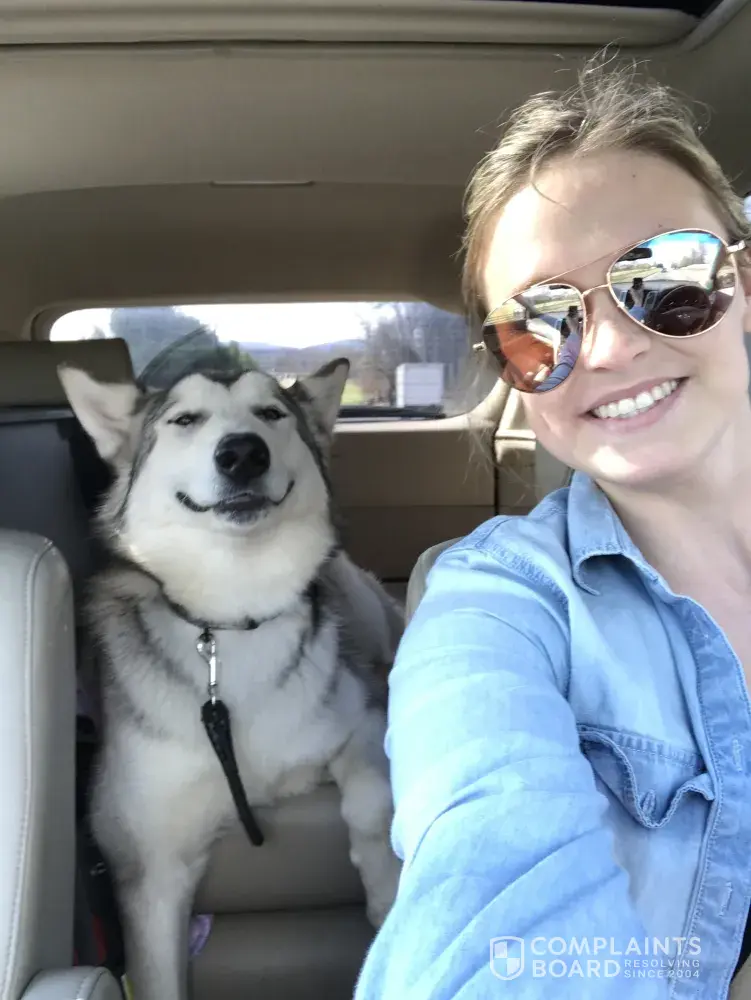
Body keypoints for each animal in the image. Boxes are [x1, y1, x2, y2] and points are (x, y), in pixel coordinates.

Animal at [59, 357, 404, 1000]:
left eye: (270, 414)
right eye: (185, 420)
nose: (243, 452)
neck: (232, 616)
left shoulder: (363, 716)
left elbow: (372, 798)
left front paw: (384, 891)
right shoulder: (149, 870)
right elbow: (158, 975)